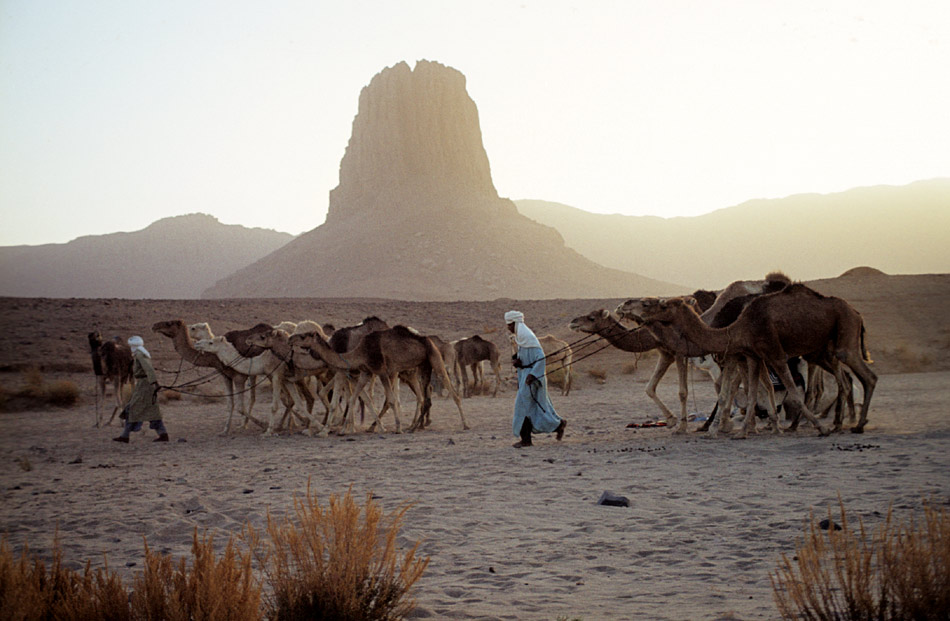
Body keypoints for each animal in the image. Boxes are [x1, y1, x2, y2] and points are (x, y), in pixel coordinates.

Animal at [292, 326, 466, 434]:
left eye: (304, 335)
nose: (291, 339)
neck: (360, 352)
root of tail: (430, 340)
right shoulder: (366, 372)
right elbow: (354, 397)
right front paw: (343, 430)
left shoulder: (381, 370)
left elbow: (391, 400)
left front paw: (397, 428)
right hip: (424, 366)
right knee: (426, 399)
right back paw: (413, 427)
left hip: (435, 358)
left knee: (453, 393)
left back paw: (465, 424)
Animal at [624, 284, 876, 436]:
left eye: (663, 305)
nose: (633, 310)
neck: (739, 326)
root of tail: (857, 312)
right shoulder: (754, 356)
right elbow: (754, 392)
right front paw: (746, 429)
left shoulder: (774, 352)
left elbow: (789, 392)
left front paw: (818, 428)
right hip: (825, 349)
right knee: (850, 380)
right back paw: (846, 424)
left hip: (844, 334)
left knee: (864, 377)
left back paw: (851, 425)